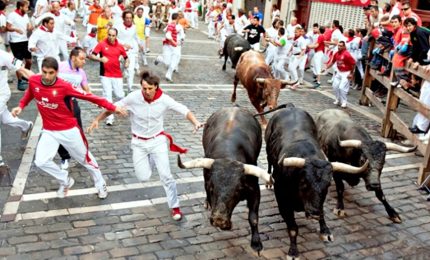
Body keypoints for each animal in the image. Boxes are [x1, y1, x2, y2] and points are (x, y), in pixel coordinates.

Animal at [176, 107, 272, 254]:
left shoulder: (255, 191)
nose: (219, 220)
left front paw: (256, 243)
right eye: (212, 188)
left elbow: (253, 218)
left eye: (238, 190)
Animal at [264, 104, 368, 258]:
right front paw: (293, 252)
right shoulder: (282, 201)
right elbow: (293, 228)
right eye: (303, 182)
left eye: (328, 184)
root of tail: (290, 107)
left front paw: (325, 231)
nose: (313, 212)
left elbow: (323, 212)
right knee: (269, 161)